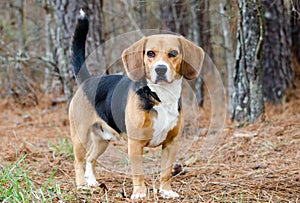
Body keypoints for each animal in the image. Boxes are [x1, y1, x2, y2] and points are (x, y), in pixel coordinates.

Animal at [68, 10, 204, 199]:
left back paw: (92, 182)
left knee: (90, 158)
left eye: (173, 53)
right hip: (80, 134)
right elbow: (138, 172)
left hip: (102, 139)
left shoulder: (171, 143)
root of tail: (88, 80)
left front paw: (166, 191)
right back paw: (81, 185)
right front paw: (139, 193)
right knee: (78, 161)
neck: (160, 96)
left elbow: (166, 172)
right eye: (150, 53)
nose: (160, 69)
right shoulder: (135, 143)